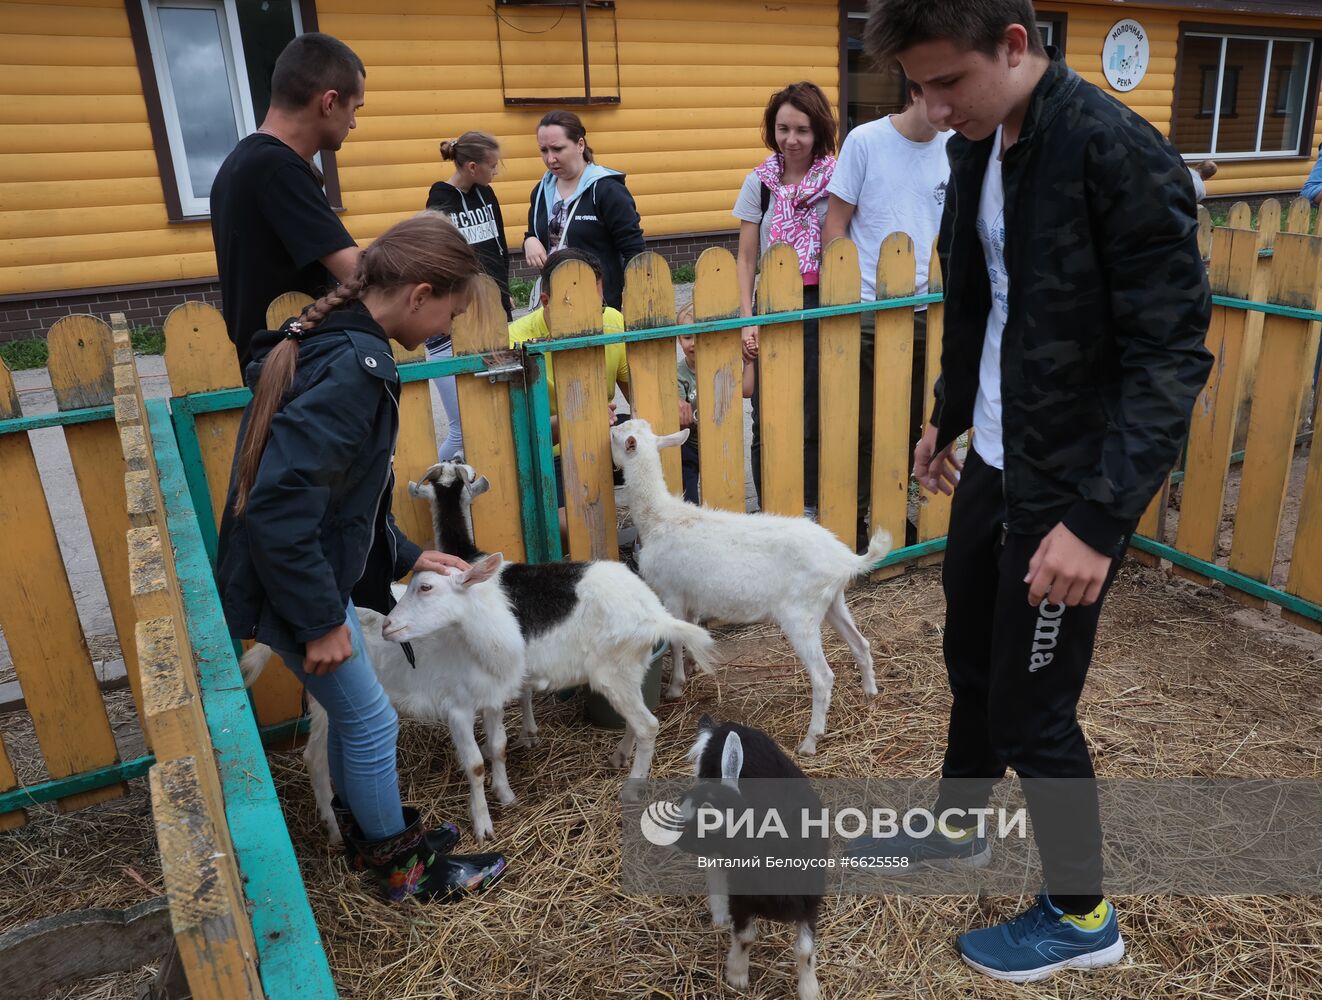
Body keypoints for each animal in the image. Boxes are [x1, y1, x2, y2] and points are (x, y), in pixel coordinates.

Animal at [378, 550, 719, 793]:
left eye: (425, 587)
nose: (388, 626)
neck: (474, 601)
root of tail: (653, 613)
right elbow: (522, 693)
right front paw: (526, 734)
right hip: (629, 672)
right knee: (637, 720)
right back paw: (619, 756)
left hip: (614, 673)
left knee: (648, 725)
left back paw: (633, 783)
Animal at [608, 417, 888, 751]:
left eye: (616, 435)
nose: (611, 427)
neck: (659, 518)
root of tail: (845, 559)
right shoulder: (690, 596)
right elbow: (690, 632)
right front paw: (691, 666)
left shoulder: (671, 592)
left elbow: (675, 641)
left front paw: (675, 687)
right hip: (833, 602)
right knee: (861, 644)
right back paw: (870, 693)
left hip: (801, 614)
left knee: (823, 677)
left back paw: (810, 740)